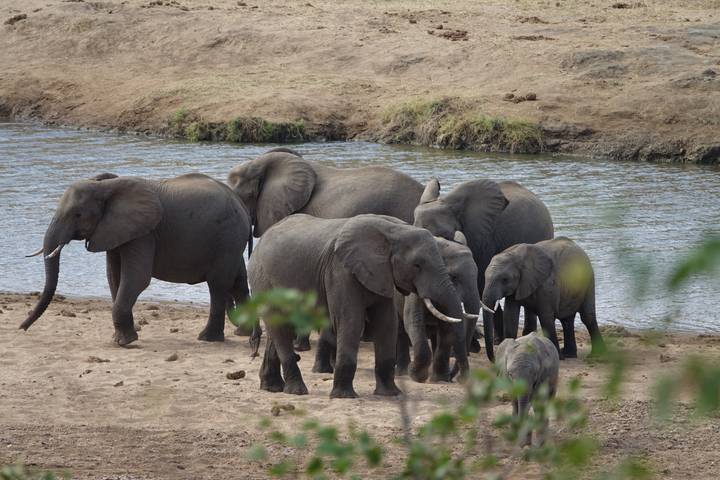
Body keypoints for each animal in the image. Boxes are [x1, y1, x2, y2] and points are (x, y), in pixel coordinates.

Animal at [21, 173, 251, 345]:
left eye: (77, 214)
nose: (22, 328)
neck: (105, 187)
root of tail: (241, 205)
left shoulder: (144, 233)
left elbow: (137, 278)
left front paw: (125, 342)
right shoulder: (115, 231)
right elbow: (113, 276)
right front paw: (121, 338)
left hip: (227, 236)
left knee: (218, 284)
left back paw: (208, 338)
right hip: (232, 241)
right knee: (238, 282)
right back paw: (242, 334)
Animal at [248, 213, 468, 398]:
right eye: (417, 265)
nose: (417, 376)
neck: (394, 231)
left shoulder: (382, 274)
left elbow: (387, 323)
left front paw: (390, 394)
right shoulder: (340, 271)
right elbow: (350, 321)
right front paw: (344, 396)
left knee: (279, 328)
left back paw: (272, 388)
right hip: (263, 281)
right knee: (279, 326)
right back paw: (297, 391)